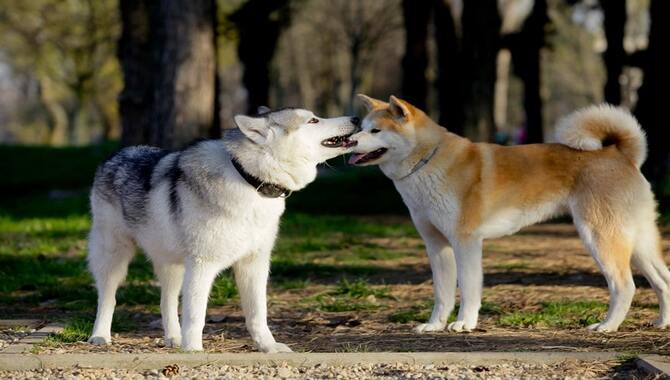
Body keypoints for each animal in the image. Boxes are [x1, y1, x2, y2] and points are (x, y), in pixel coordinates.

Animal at [89, 107, 362, 350]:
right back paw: (100, 336)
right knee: (108, 298)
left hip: (172, 265)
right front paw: (193, 350)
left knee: (166, 301)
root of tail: (118, 154)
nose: (357, 118)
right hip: (114, 258)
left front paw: (268, 347)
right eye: (313, 120)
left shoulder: (254, 265)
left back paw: (174, 339)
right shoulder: (202, 266)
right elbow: (195, 316)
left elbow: (257, 314)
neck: (249, 181)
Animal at [350, 94, 668, 332]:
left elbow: (468, 288)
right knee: (663, 280)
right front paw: (435, 325)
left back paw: (607, 326)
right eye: (361, 127)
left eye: (375, 131)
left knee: (624, 286)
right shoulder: (436, 245)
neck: (429, 161)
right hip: (638, 242)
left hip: (600, 237)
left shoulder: (466, 242)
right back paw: (662, 323)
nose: (350, 141)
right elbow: (442, 293)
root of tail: (621, 154)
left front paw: (464, 323)